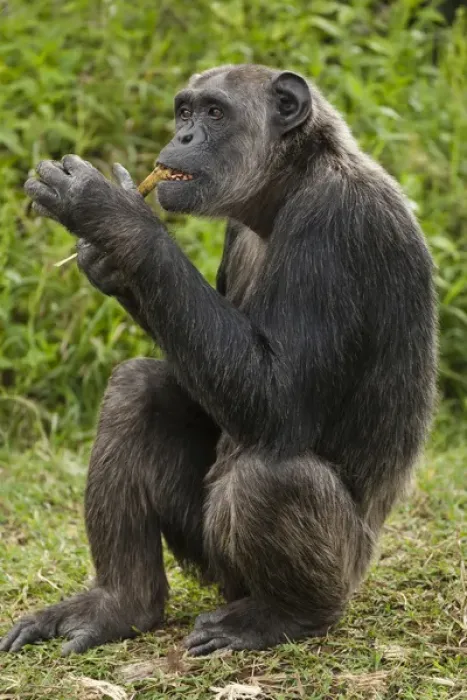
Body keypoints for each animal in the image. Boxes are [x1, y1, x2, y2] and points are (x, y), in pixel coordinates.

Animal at [0, 64, 437, 657]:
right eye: (184, 111)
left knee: (270, 476)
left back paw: (281, 616)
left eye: (214, 113)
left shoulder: (335, 228)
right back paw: (120, 603)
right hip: (210, 557)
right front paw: (107, 259)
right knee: (136, 388)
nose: (183, 136)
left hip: (332, 570)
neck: (288, 185)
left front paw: (112, 215)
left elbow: (278, 401)